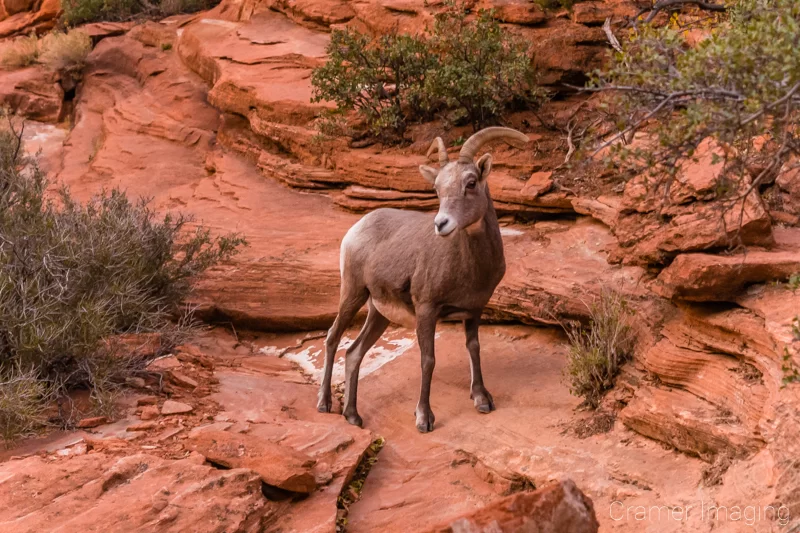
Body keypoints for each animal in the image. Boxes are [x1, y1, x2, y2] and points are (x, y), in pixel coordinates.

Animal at [316, 127, 528, 430]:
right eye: (437, 189)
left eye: (471, 183)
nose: (441, 224)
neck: (469, 267)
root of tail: (356, 228)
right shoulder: (427, 310)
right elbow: (428, 360)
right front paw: (424, 418)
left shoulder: (474, 310)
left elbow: (473, 348)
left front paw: (482, 400)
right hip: (353, 293)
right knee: (333, 338)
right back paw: (324, 404)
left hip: (378, 312)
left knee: (354, 353)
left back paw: (353, 415)